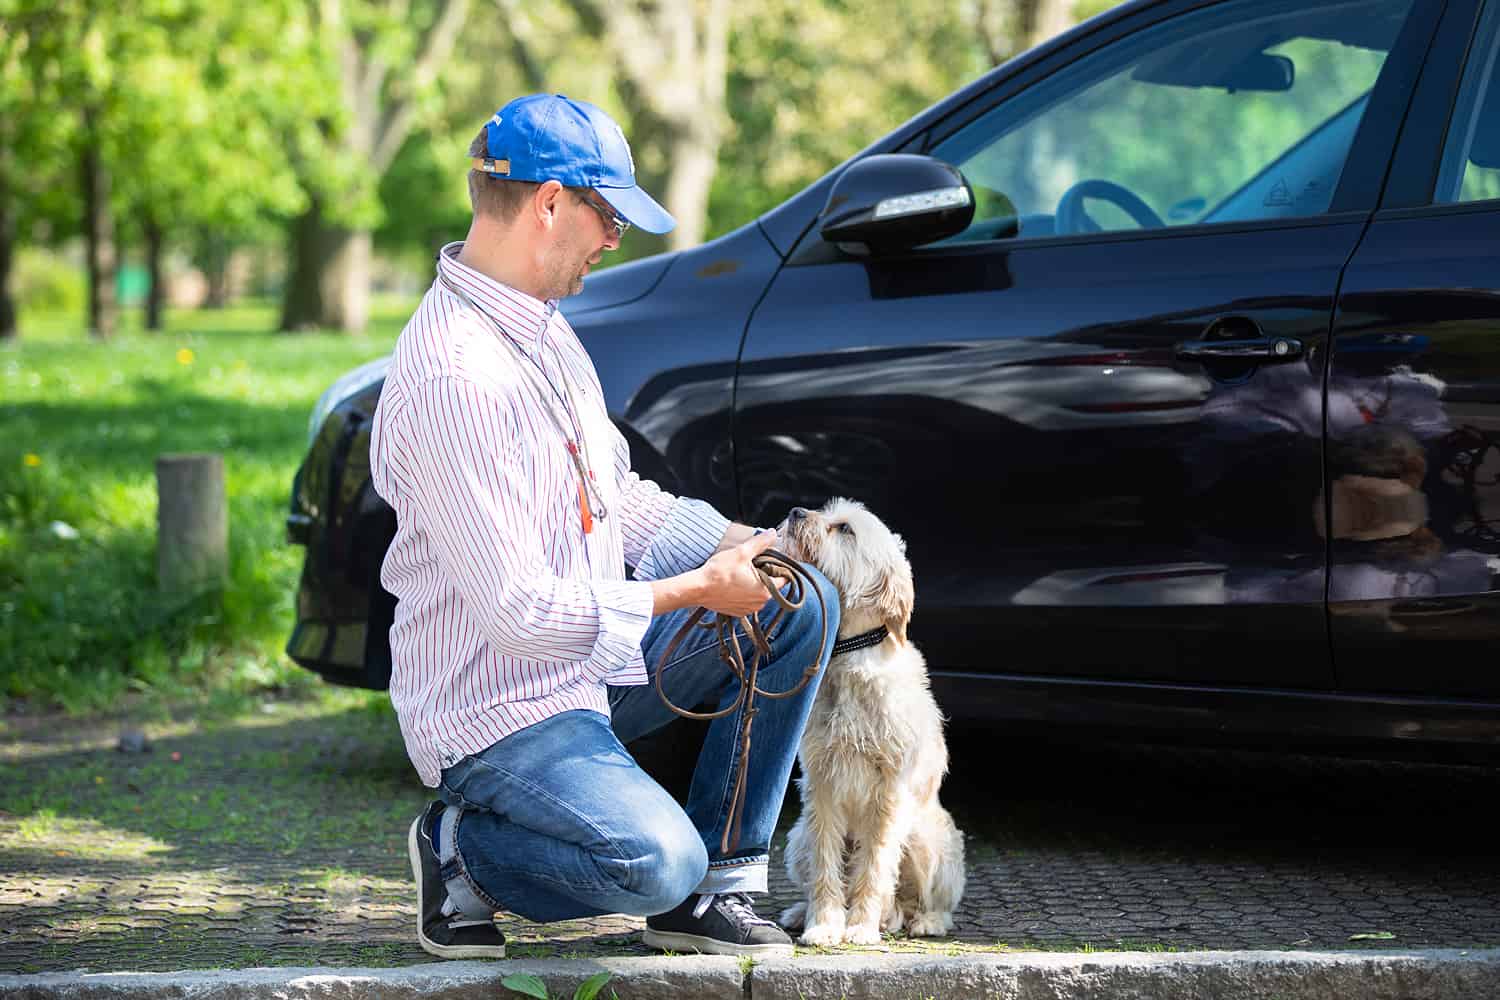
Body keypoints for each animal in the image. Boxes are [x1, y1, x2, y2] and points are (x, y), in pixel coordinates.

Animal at [768, 500, 966, 947]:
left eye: (845, 528)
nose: (795, 511)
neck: (848, 656)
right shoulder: (822, 788)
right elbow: (827, 867)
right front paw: (825, 925)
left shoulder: (888, 795)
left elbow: (874, 867)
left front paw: (859, 926)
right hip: (797, 838)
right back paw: (801, 912)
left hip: (928, 839)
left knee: (926, 900)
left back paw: (919, 921)